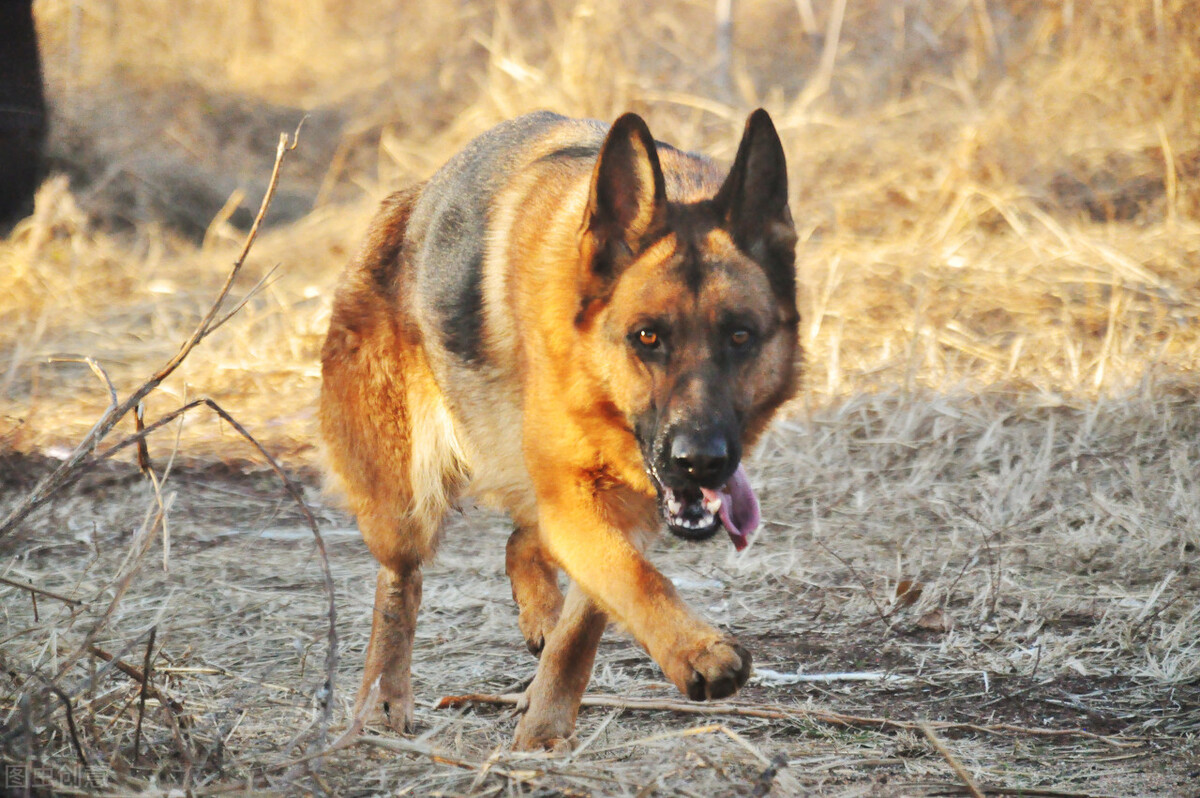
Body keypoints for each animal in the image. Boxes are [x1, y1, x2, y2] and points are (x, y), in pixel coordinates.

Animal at [324, 107, 801, 748]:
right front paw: (698, 652)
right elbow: (636, 579)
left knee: (523, 542)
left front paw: (545, 727)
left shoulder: (618, 508)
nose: (700, 460)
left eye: (741, 335)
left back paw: (537, 616)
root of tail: (409, 199)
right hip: (404, 509)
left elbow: (592, 613)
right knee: (400, 583)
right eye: (647, 336)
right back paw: (381, 703)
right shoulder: (580, 499)